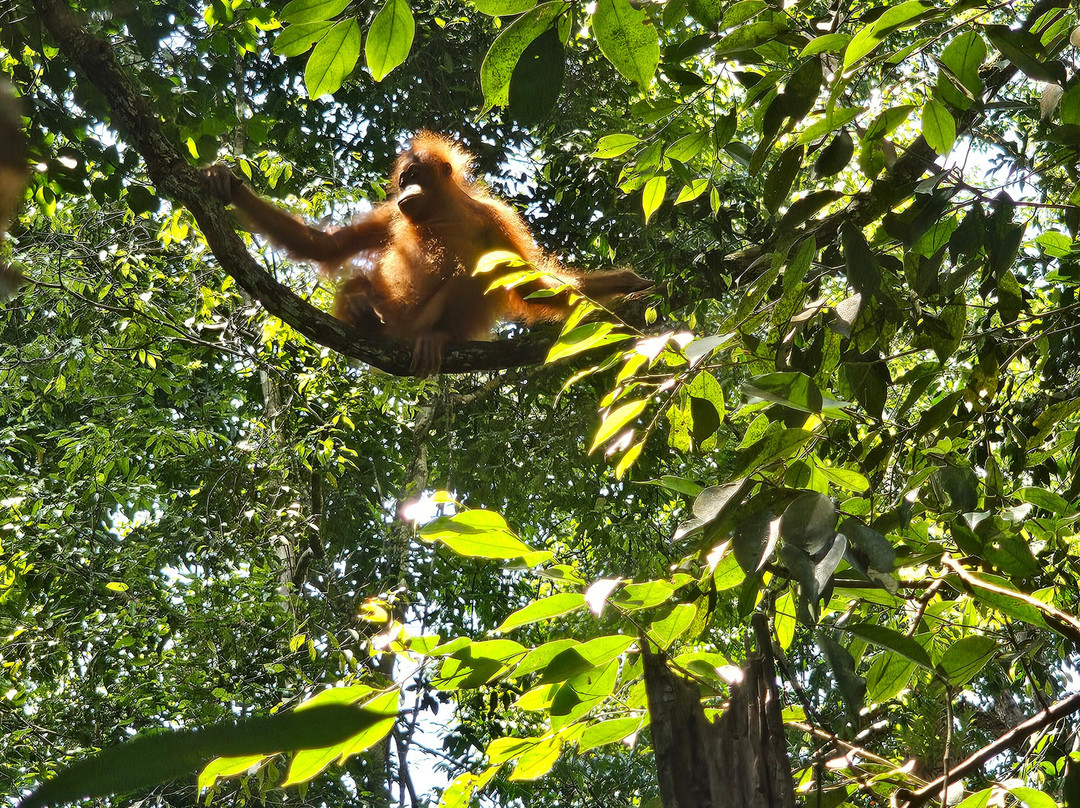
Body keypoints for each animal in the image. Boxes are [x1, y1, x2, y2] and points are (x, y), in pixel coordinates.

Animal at [203, 132, 651, 376]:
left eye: (416, 176)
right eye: (403, 180)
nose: (406, 190)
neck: (442, 216)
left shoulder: (496, 221)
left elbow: (530, 286)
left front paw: (624, 282)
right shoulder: (391, 214)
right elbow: (326, 246)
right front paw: (230, 186)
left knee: (469, 276)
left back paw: (436, 338)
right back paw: (364, 311)